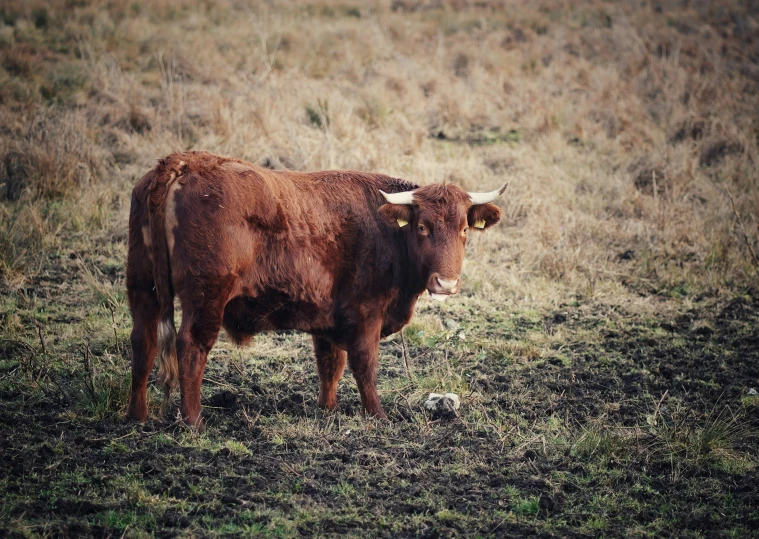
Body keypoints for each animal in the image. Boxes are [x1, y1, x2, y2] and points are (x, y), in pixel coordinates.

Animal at [124, 152, 508, 430]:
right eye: (423, 227)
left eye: (463, 229)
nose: (446, 283)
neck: (386, 230)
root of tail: (182, 163)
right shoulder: (365, 315)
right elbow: (364, 365)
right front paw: (378, 415)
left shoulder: (327, 319)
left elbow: (330, 364)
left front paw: (328, 409)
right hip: (206, 298)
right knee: (191, 347)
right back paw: (194, 421)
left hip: (142, 287)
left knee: (143, 342)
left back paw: (136, 416)